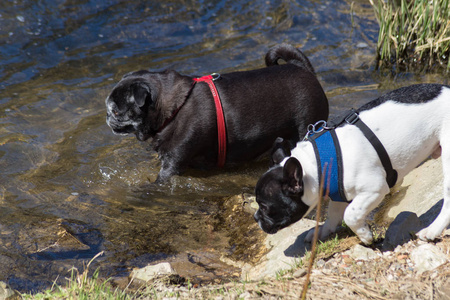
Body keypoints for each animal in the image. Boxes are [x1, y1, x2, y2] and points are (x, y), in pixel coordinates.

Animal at [255, 84, 450, 244]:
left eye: (264, 207)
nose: (256, 217)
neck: (316, 163)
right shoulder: (337, 192)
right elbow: (333, 214)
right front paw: (323, 231)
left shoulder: (374, 189)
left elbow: (350, 213)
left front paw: (365, 235)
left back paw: (432, 231)